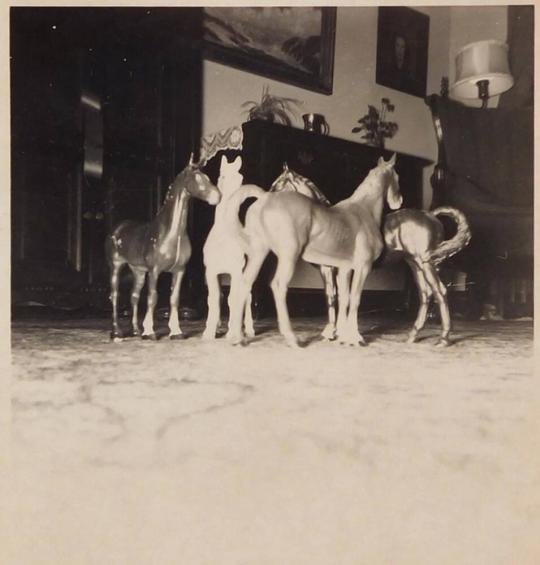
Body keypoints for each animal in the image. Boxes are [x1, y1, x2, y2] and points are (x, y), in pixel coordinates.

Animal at [227, 155, 400, 348]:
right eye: (397, 177)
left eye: (277, 184)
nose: (398, 201)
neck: (364, 211)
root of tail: (263, 202)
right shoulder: (361, 268)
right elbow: (353, 298)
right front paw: (354, 337)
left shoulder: (343, 269)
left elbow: (343, 298)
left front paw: (340, 335)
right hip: (288, 256)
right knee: (278, 285)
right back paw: (291, 338)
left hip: (259, 253)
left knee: (245, 283)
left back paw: (236, 337)